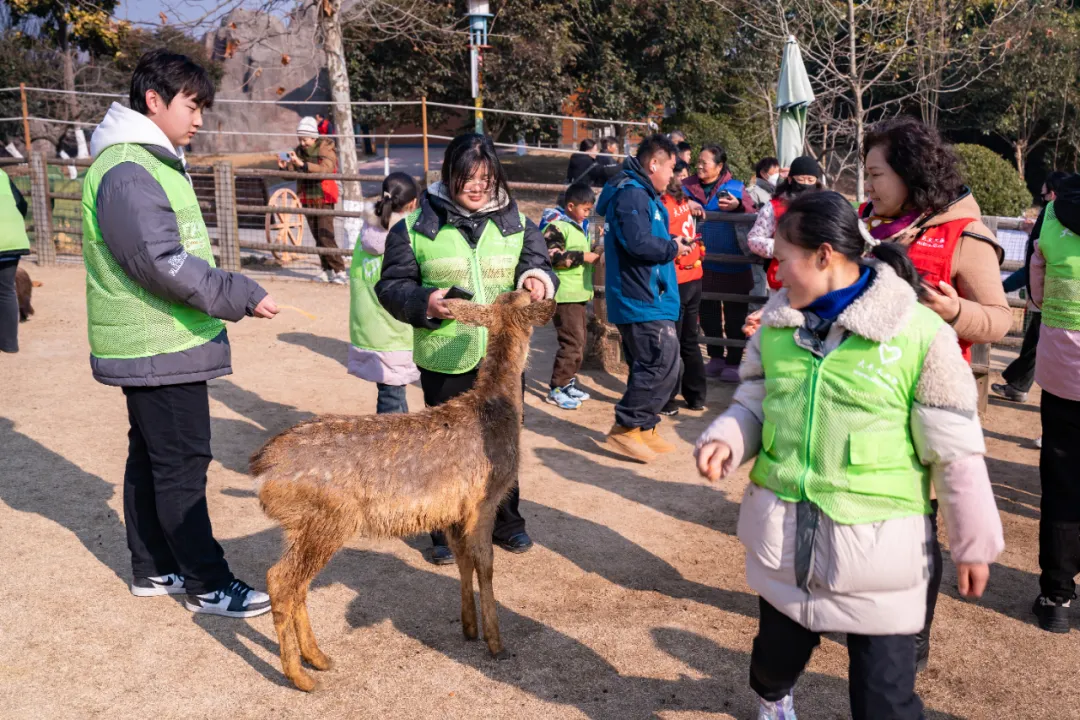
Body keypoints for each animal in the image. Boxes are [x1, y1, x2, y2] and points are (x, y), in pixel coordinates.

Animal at [252, 289, 557, 690]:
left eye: (512, 294)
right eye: (524, 297)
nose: (533, 287)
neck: (494, 409)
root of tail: (263, 465)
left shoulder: (453, 510)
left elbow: (463, 562)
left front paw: (469, 628)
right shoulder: (484, 500)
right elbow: (486, 565)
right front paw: (495, 642)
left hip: (300, 526)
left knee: (296, 584)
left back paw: (318, 658)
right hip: (329, 518)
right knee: (280, 580)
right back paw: (300, 676)